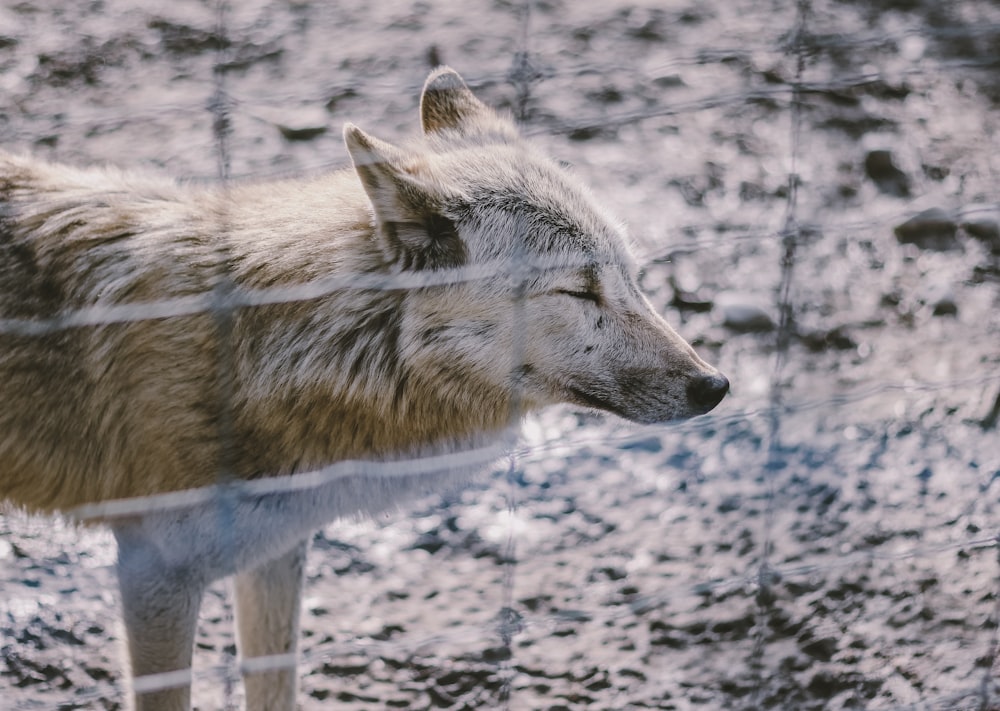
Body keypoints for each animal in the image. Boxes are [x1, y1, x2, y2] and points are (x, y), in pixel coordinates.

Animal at [0, 68, 728, 711]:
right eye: (578, 291)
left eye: (631, 279)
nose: (715, 385)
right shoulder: (153, 576)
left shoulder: (275, 553)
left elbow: (276, 688)